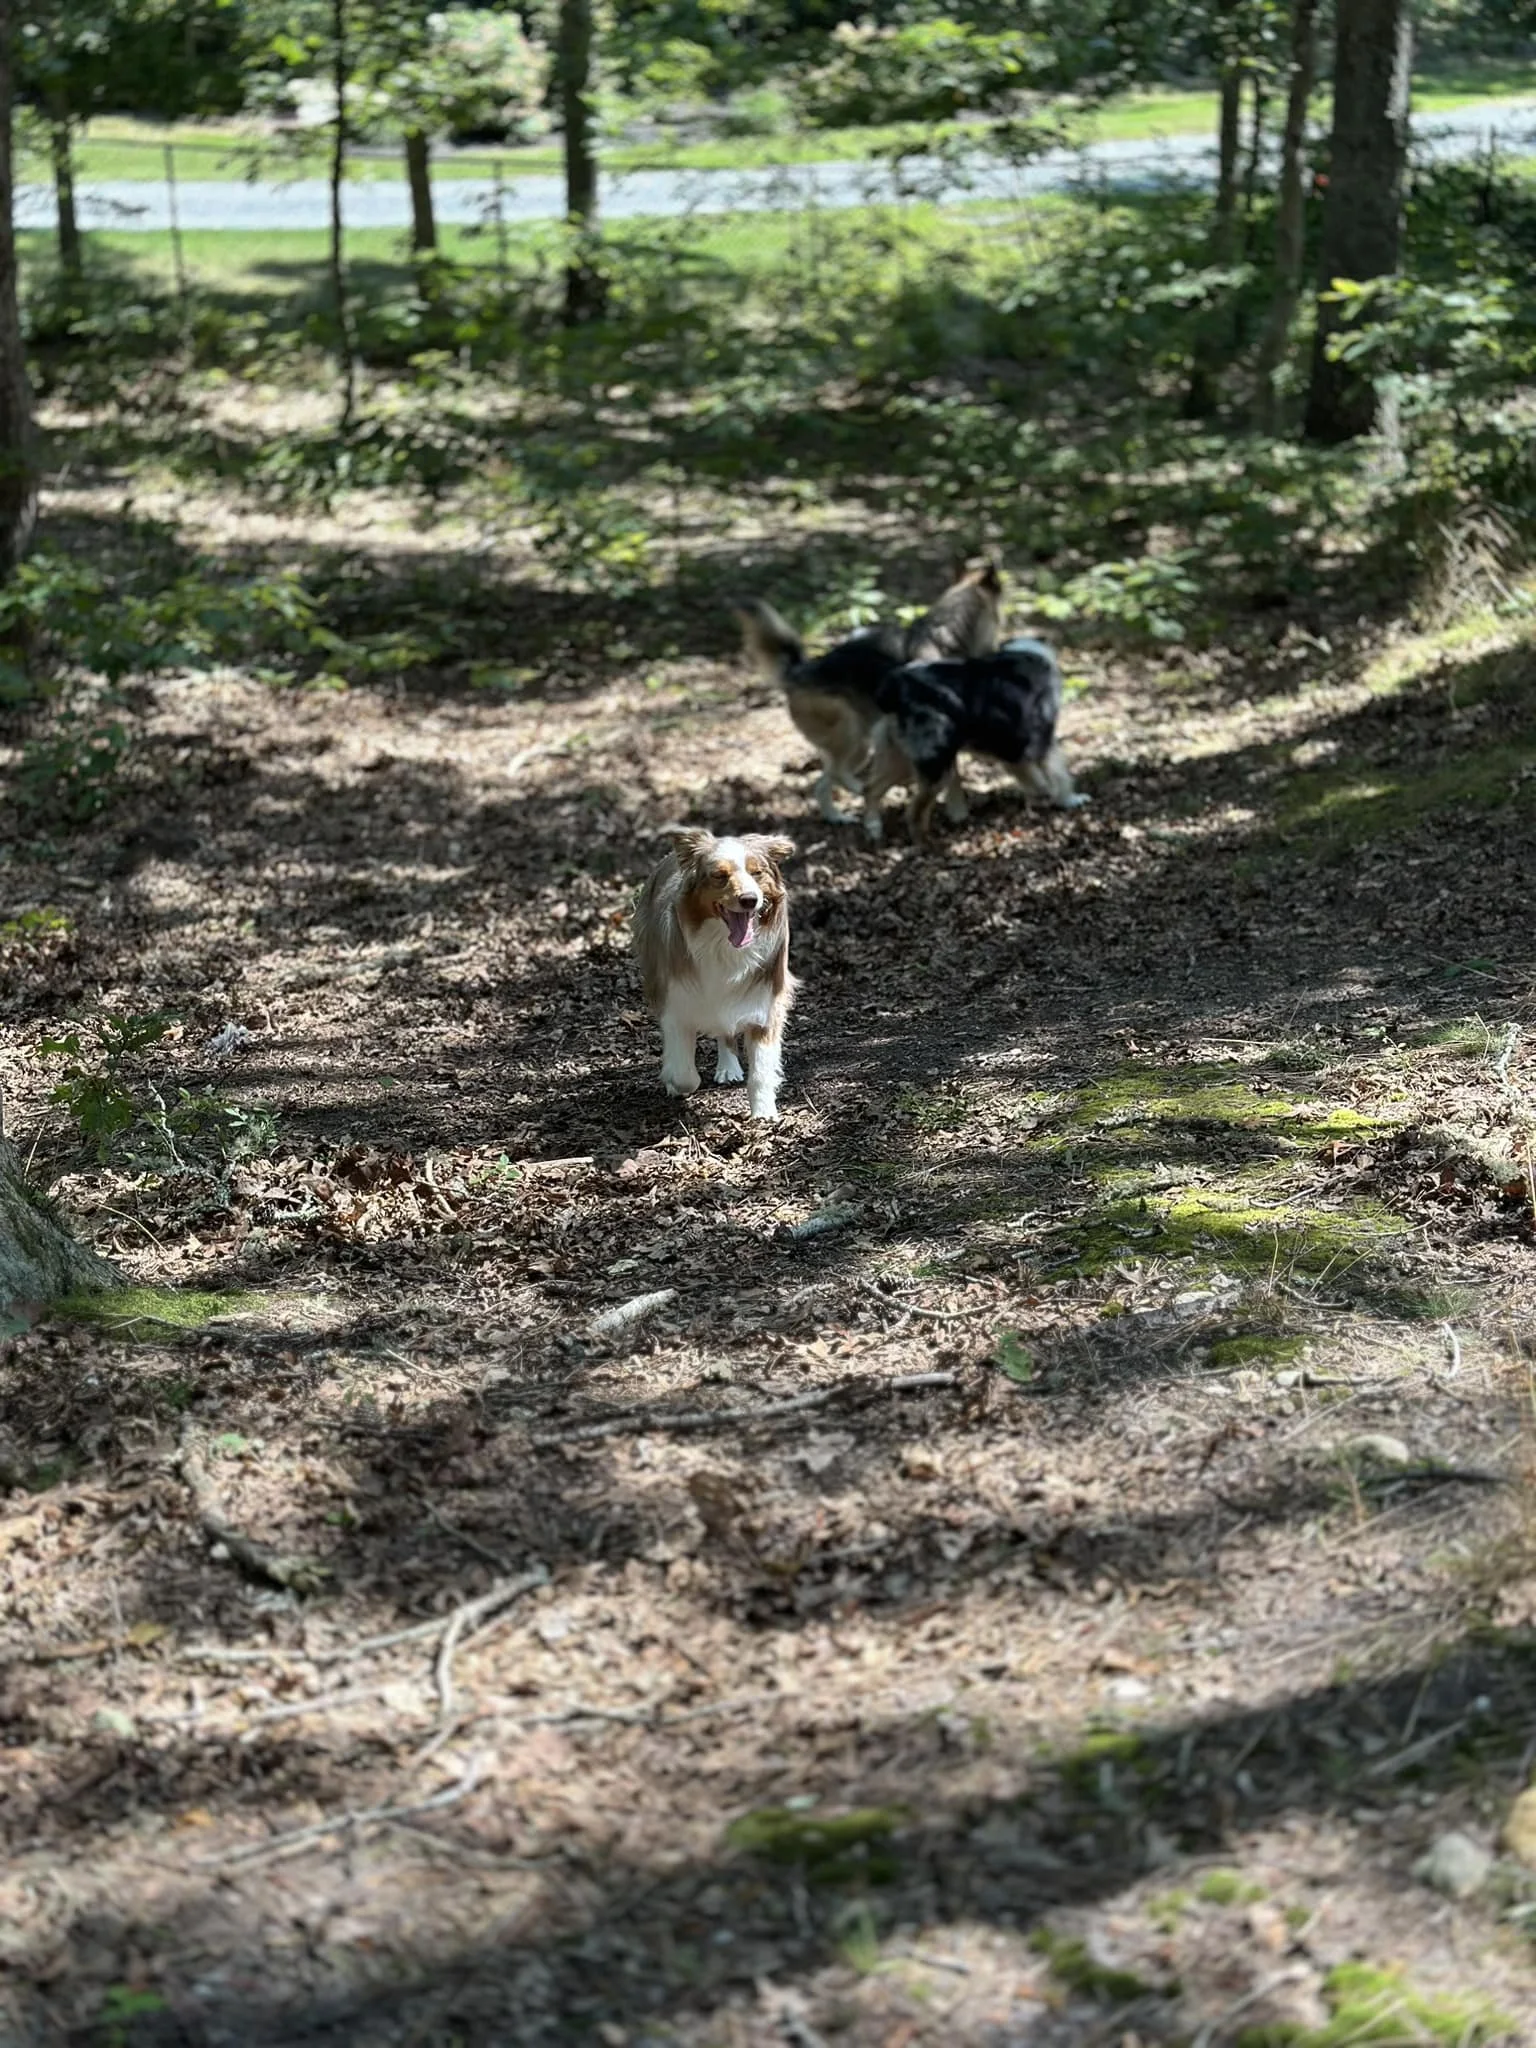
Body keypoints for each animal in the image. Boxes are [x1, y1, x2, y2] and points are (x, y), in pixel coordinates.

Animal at [632, 829, 796, 1121]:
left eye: (757, 873)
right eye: (720, 876)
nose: (750, 900)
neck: (723, 946)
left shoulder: (765, 998)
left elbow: (762, 1069)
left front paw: (764, 1113)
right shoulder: (676, 1003)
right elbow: (684, 1074)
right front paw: (675, 1082)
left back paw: (729, 1066)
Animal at [736, 560, 1002, 834]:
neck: (942, 633)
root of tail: (800, 671)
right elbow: (955, 778)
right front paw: (958, 811)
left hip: (859, 745)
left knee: (823, 783)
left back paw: (837, 816)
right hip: (853, 737)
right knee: (843, 775)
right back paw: (862, 795)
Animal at [866, 636, 1088, 843]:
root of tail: (896, 686)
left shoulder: (1012, 748)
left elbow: (1032, 778)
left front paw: (1041, 795)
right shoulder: (1042, 742)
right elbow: (1061, 776)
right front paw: (1070, 800)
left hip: (900, 761)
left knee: (870, 789)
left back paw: (873, 828)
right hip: (935, 765)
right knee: (913, 812)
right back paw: (924, 842)